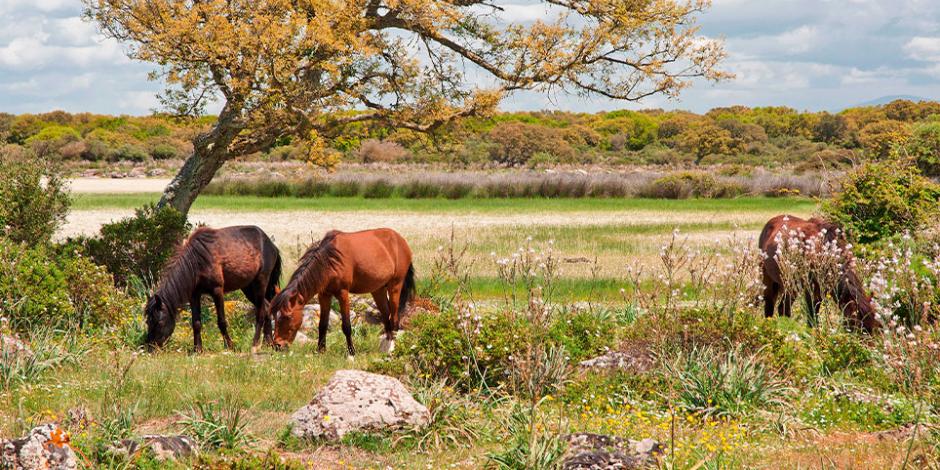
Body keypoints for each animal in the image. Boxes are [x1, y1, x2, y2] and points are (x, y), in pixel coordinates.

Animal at [143, 226, 280, 350]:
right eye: (148, 322)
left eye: (160, 322)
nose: (151, 348)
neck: (196, 261)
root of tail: (271, 245)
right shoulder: (194, 295)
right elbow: (196, 323)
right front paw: (197, 349)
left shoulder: (217, 291)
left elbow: (221, 321)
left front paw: (230, 346)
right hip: (248, 287)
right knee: (267, 307)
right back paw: (268, 343)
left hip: (260, 283)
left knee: (261, 313)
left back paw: (255, 343)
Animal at [270, 229, 414, 356]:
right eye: (274, 317)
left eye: (288, 316)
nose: (277, 345)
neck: (329, 260)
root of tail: (400, 240)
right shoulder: (324, 295)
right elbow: (322, 325)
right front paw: (320, 351)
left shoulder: (343, 294)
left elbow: (346, 326)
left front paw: (352, 352)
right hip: (378, 290)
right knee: (386, 317)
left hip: (395, 286)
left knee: (394, 318)